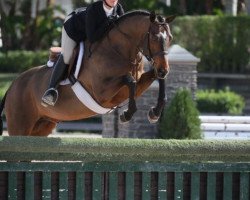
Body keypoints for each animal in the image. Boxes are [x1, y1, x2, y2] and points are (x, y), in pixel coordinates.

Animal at [0, 10, 175, 136]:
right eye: (154, 37)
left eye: (170, 38)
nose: (164, 70)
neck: (118, 51)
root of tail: (12, 86)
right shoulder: (102, 93)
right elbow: (129, 80)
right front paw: (127, 114)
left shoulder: (132, 87)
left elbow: (154, 80)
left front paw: (155, 112)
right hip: (20, 126)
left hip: (42, 126)